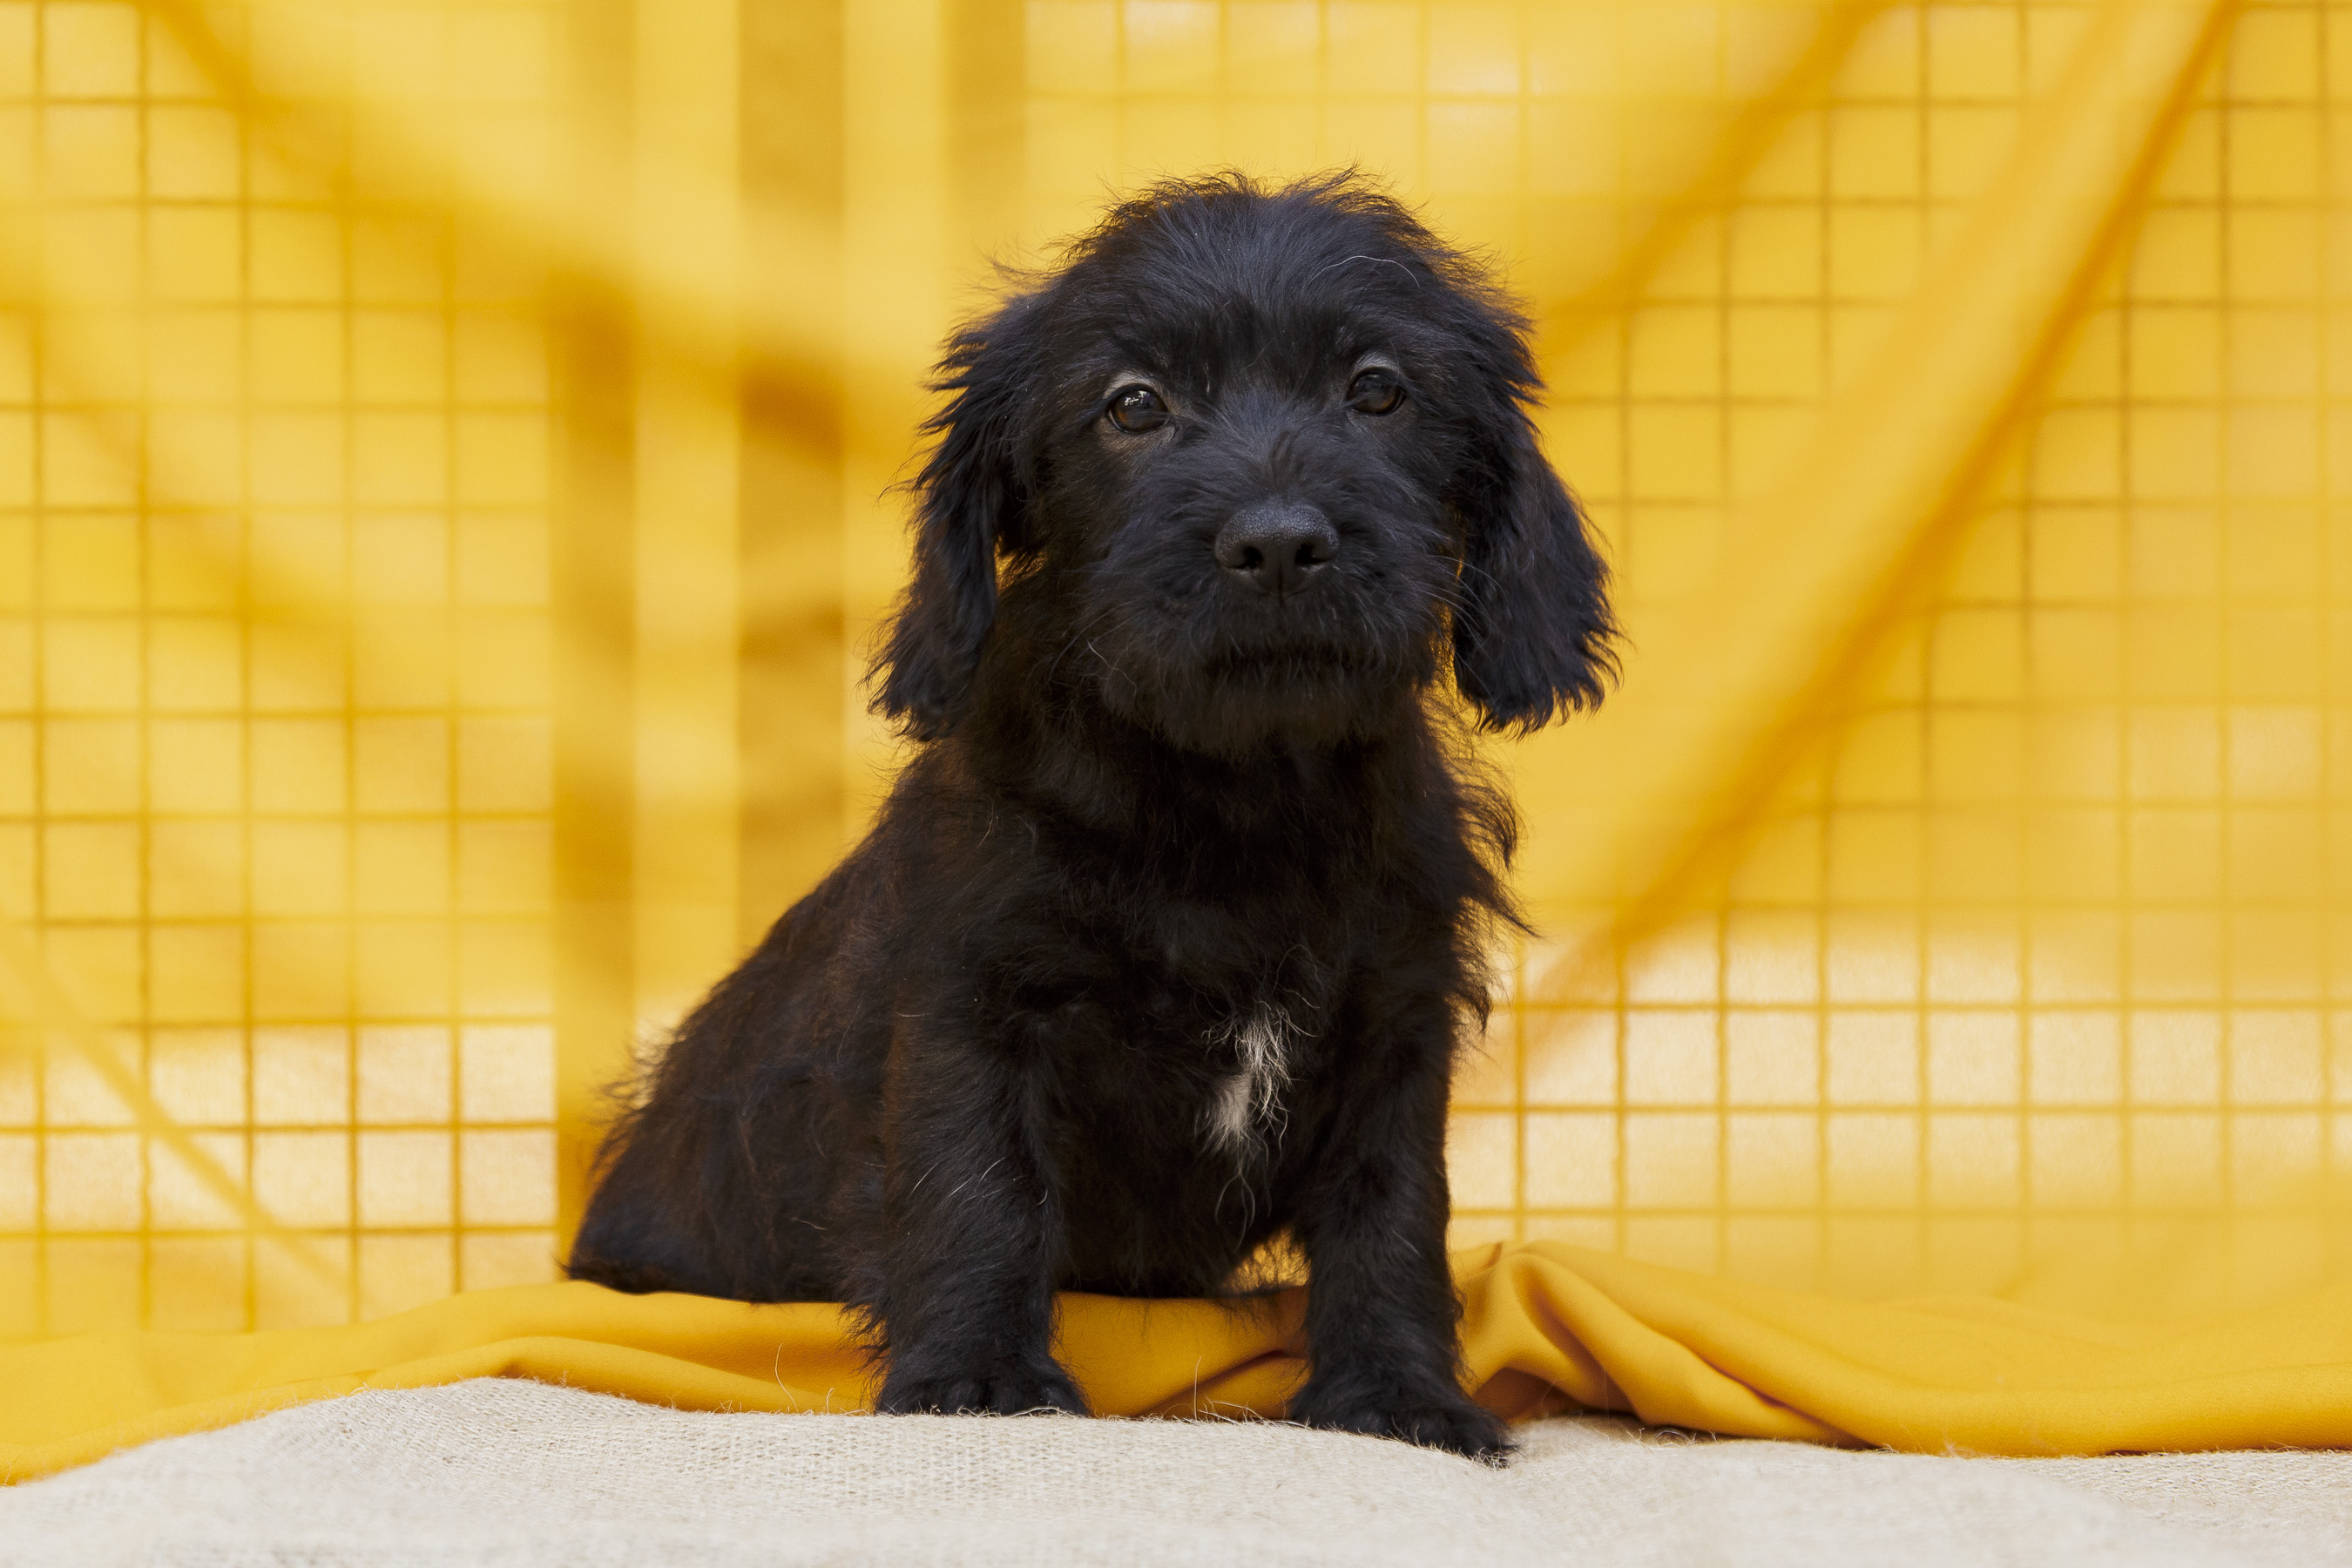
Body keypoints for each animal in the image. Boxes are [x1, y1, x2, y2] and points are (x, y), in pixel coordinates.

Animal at [564, 172, 1618, 1457]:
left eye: (1378, 390)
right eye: (1134, 405)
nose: (1278, 542)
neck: (1233, 802)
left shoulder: (1395, 1025)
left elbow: (1393, 1216)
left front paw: (1400, 1398)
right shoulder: (973, 1008)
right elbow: (981, 1192)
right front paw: (979, 1377)